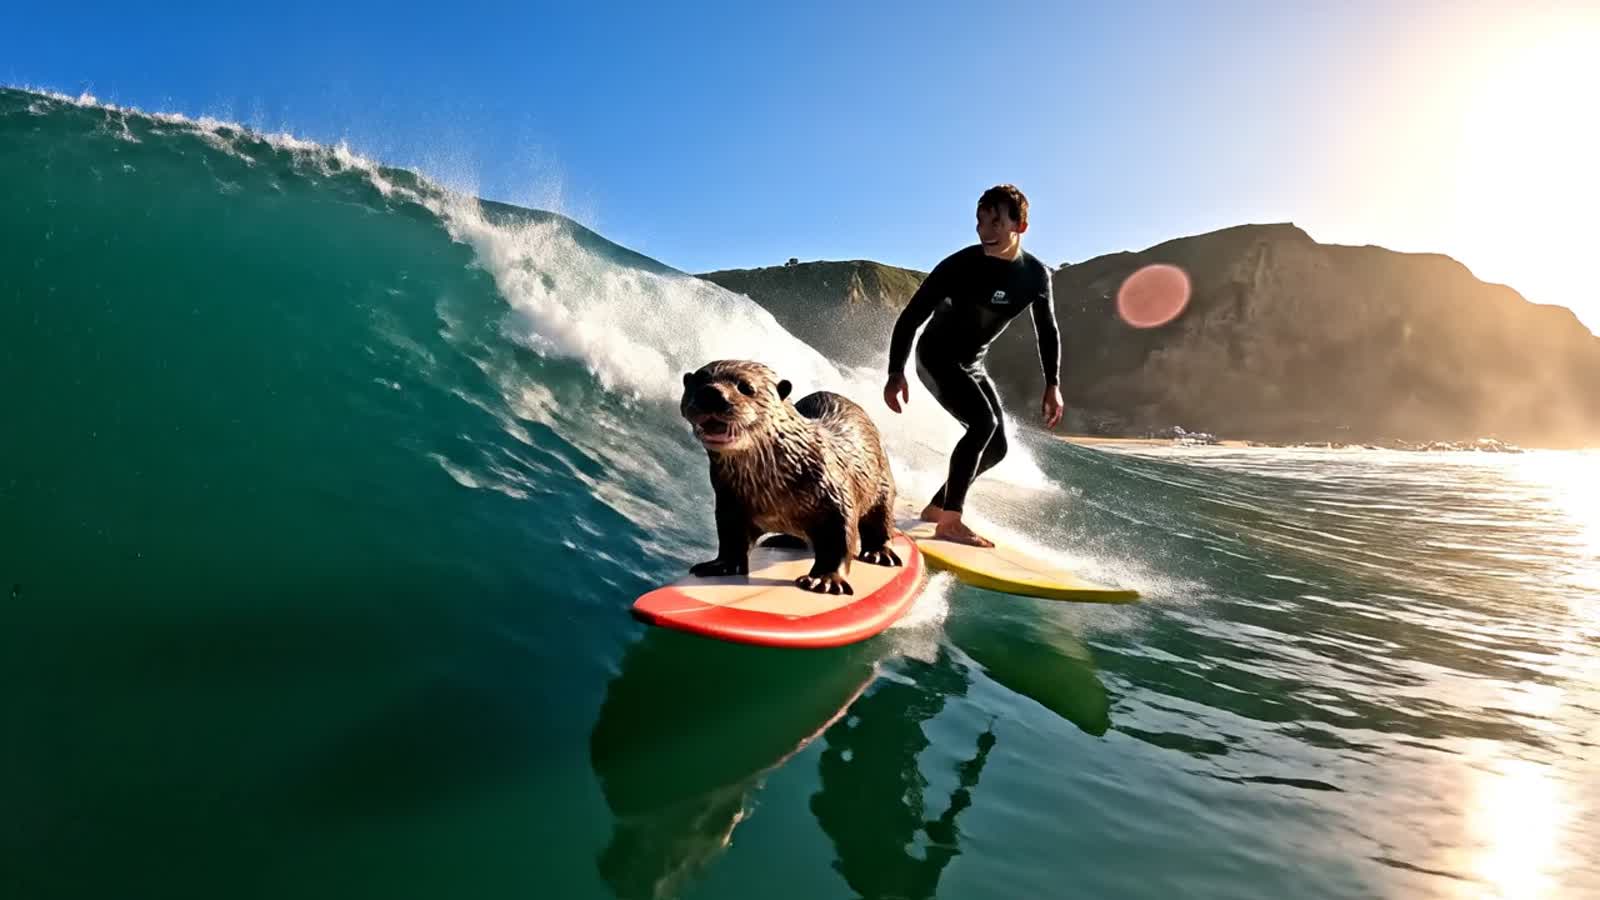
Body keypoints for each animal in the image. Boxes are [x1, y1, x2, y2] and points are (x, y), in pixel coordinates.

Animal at [679, 359, 903, 595]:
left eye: (746, 388)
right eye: (698, 381)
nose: (710, 393)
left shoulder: (836, 495)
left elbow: (840, 540)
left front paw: (824, 580)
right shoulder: (730, 503)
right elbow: (731, 538)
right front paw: (720, 565)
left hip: (883, 482)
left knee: (881, 520)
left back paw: (879, 554)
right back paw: (783, 539)